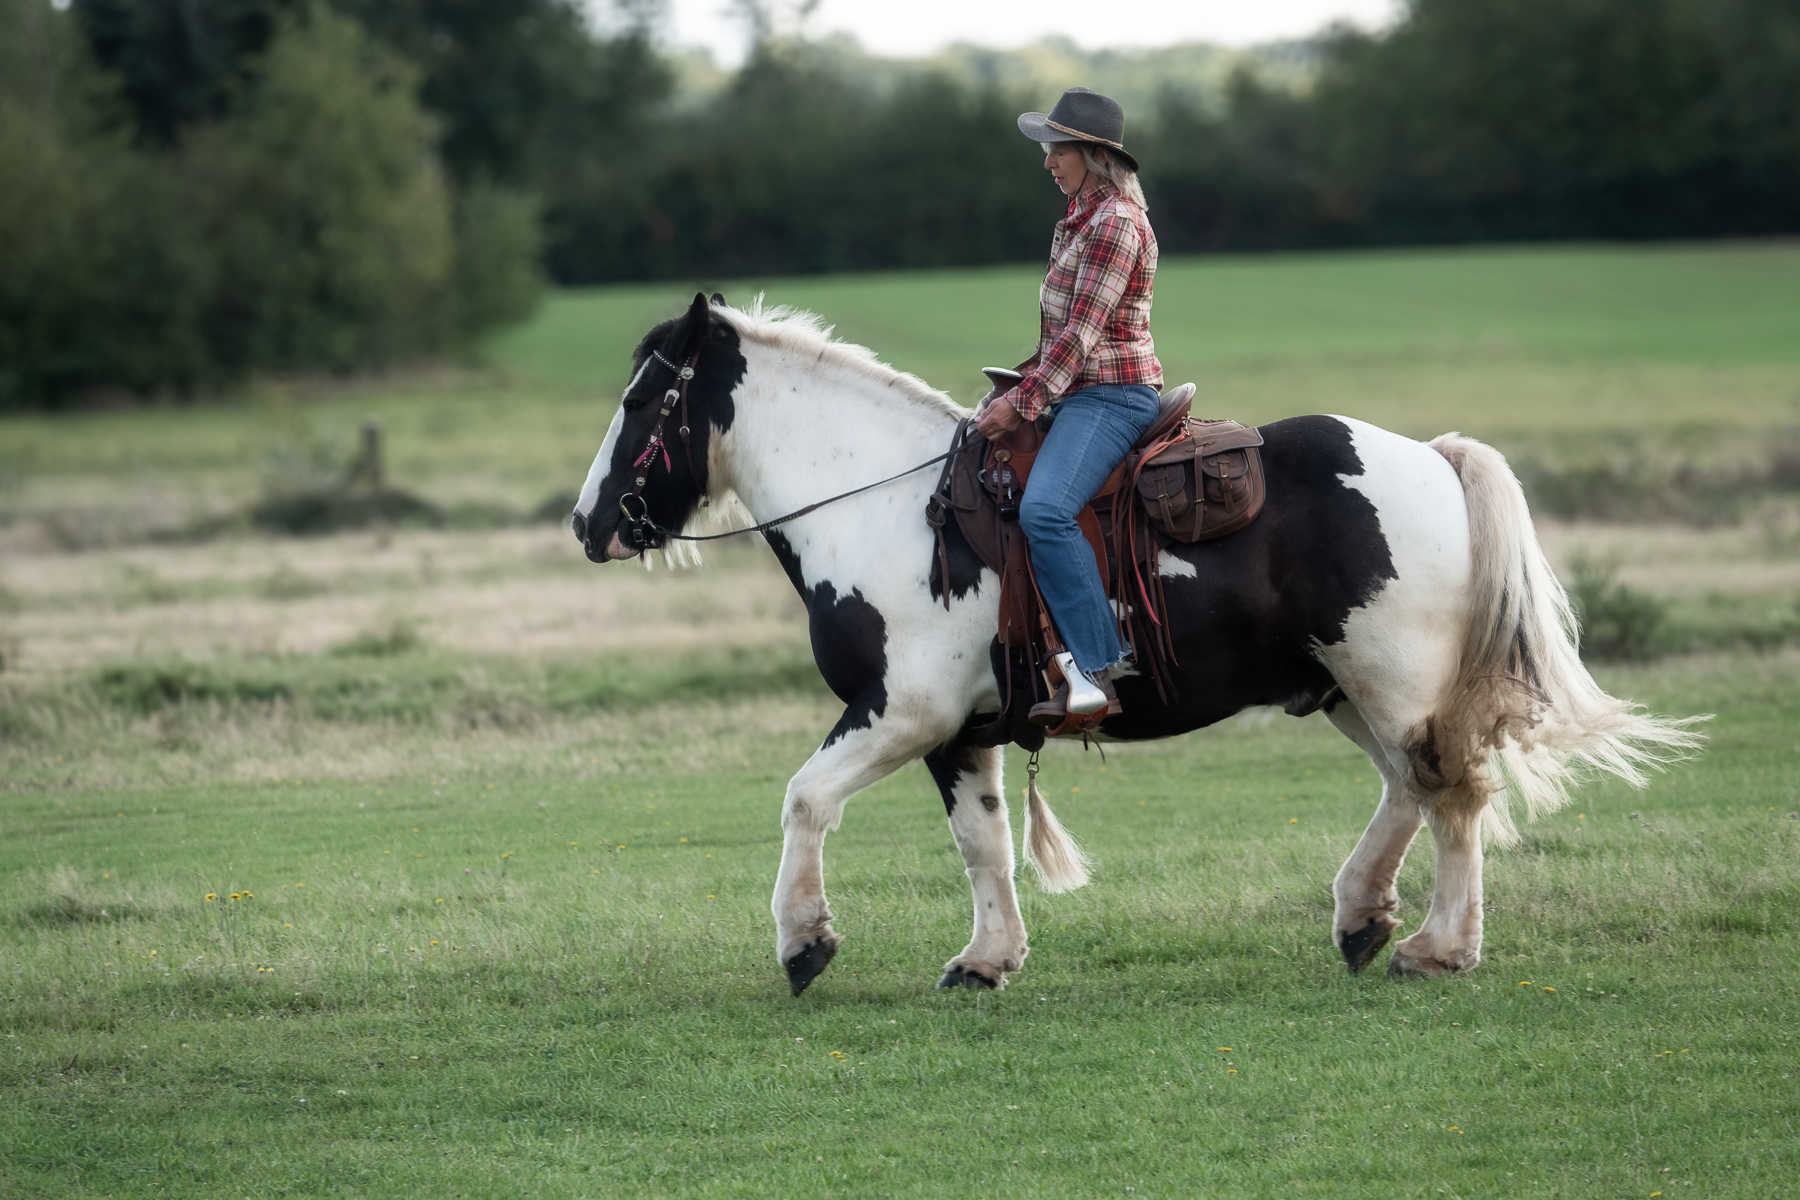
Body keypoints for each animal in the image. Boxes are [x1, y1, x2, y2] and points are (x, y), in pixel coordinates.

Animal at [572, 292, 1700, 996]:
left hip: (1392, 681)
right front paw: (987, 960)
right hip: (1346, 686)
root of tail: (1428, 455)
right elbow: (983, 845)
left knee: (1450, 793)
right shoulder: (960, 732)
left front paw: (805, 943)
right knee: (1409, 790)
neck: (884, 509)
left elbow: (805, 799)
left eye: (642, 400)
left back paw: (1436, 948)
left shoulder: (903, 713)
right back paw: (1361, 917)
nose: (588, 524)